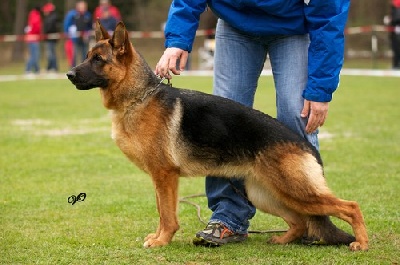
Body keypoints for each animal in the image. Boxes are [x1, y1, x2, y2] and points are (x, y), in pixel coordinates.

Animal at [66, 22, 368, 250]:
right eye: (87, 56)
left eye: (98, 60)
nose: (69, 74)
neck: (139, 97)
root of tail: (306, 146)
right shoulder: (158, 178)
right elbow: (161, 211)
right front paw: (158, 237)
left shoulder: (165, 176)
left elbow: (167, 214)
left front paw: (162, 240)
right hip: (265, 194)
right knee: (300, 221)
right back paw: (283, 240)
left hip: (295, 191)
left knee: (350, 207)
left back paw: (361, 243)